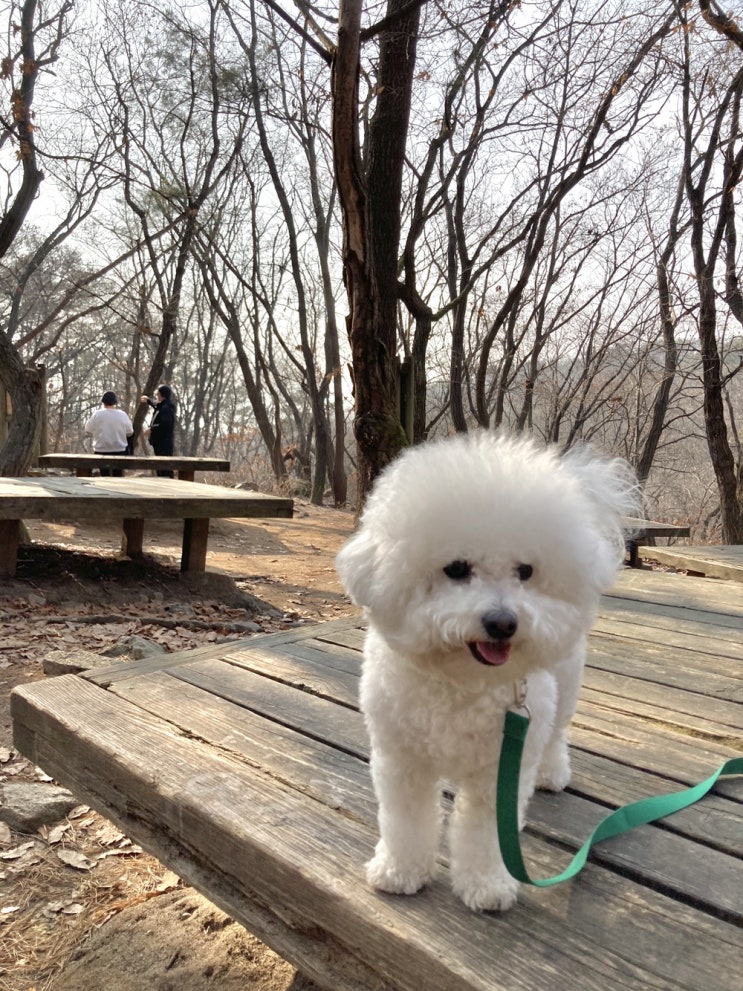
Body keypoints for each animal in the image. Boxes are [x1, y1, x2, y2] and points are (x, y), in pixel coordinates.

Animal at [338, 434, 640, 916]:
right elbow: (406, 820)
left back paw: (551, 773)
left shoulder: (499, 772)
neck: (463, 684)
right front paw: (400, 872)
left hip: (564, 684)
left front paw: (487, 885)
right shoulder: (403, 761)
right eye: (457, 568)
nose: (502, 622)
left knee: (555, 733)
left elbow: (484, 833)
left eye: (526, 571)